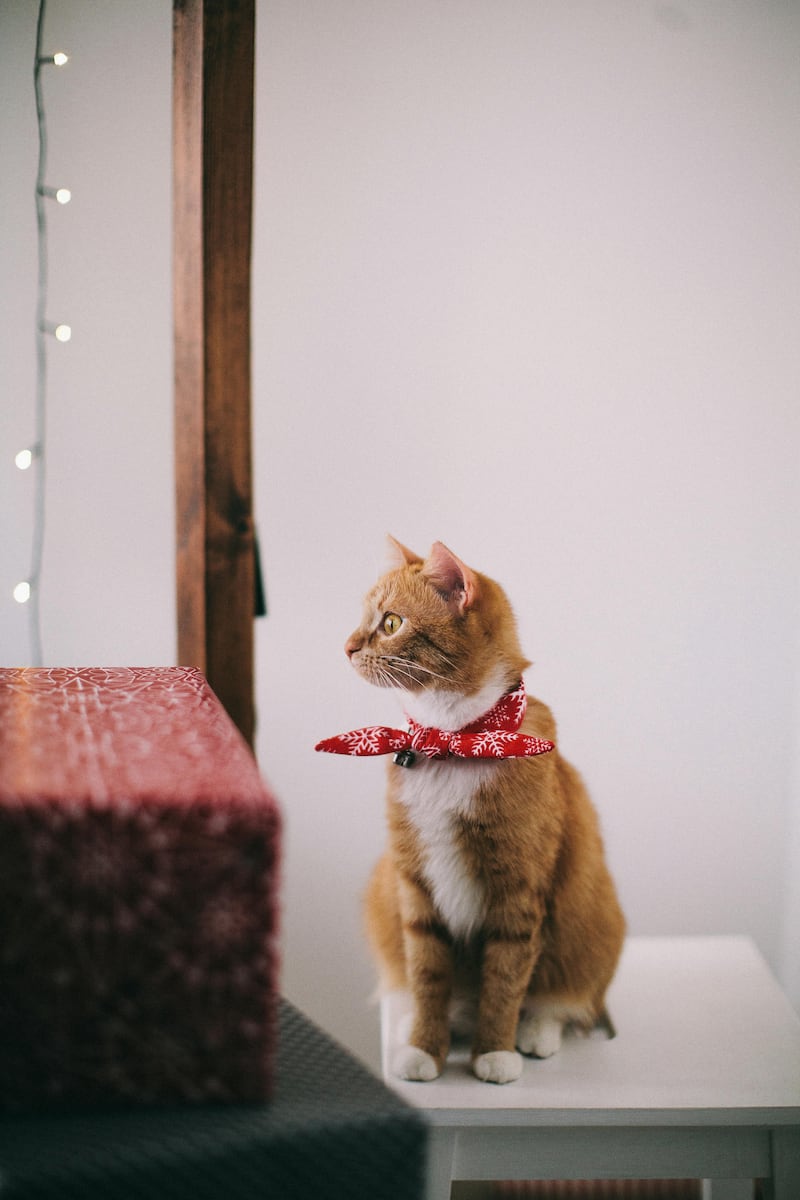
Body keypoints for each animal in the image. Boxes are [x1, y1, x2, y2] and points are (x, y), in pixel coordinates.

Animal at [321, 540, 623, 1084]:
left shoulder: (517, 893)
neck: (452, 743)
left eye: (391, 622)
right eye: (362, 617)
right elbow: (427, 976)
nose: (347, 646)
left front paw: (494, 1051)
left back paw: (537, 1032)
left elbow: (505, 982)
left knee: (566, 1002)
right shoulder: (414, 887)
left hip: (594, 921)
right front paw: (424, 1046)